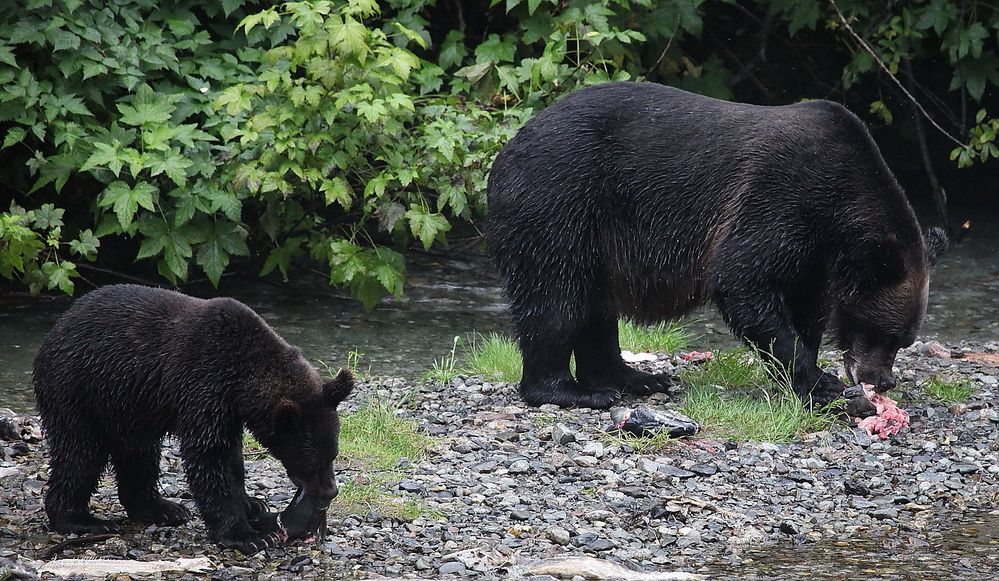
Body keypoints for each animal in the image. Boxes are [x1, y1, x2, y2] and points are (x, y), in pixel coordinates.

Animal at [33, 286, 356, 552]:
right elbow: (208, 458)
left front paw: (252, 502)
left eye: (333, 454)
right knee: (80, 455)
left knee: (139, 456)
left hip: (131, 410)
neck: (241, 376)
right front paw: (247, 535)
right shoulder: (203, 385)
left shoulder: (228, 410)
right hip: (79, 393)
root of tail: (55, 329)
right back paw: (82, 519)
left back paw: (162, 508)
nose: (330, 491)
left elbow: (231, 457)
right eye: (311, 463)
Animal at [488, 81, 948, 408]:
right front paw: (822, 383)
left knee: (595, 306)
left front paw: (806, 374)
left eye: (904, 341)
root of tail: (508, 146)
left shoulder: (814, 257)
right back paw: (571, 391)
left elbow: (804, 307)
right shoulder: (782, 195)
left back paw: (635, 378)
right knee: (556, 294)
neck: (840, 209)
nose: (883, 381)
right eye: (888, 334)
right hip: (561, 200)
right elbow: (744, 280)